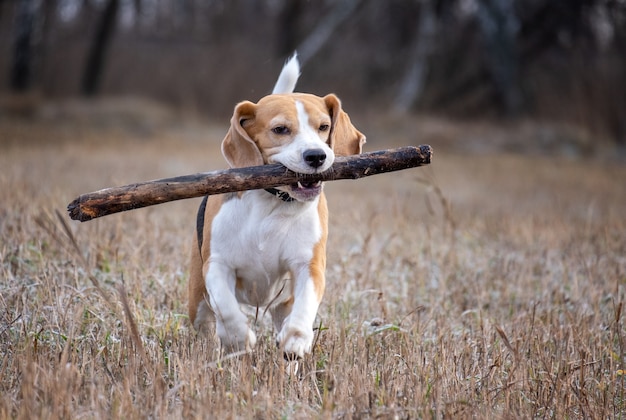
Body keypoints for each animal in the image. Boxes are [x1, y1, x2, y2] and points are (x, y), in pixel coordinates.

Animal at [188, 55, 364, 358]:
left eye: (324, 126)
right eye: (280, 129)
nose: (316, 156)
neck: (271, 202)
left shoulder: (309, 265)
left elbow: (305, 306)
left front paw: (297, 339)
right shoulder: (216, 264)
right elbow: (226, 307)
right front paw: (239, 338)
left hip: (283, 302)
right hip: (196, 300)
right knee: (207, 324)